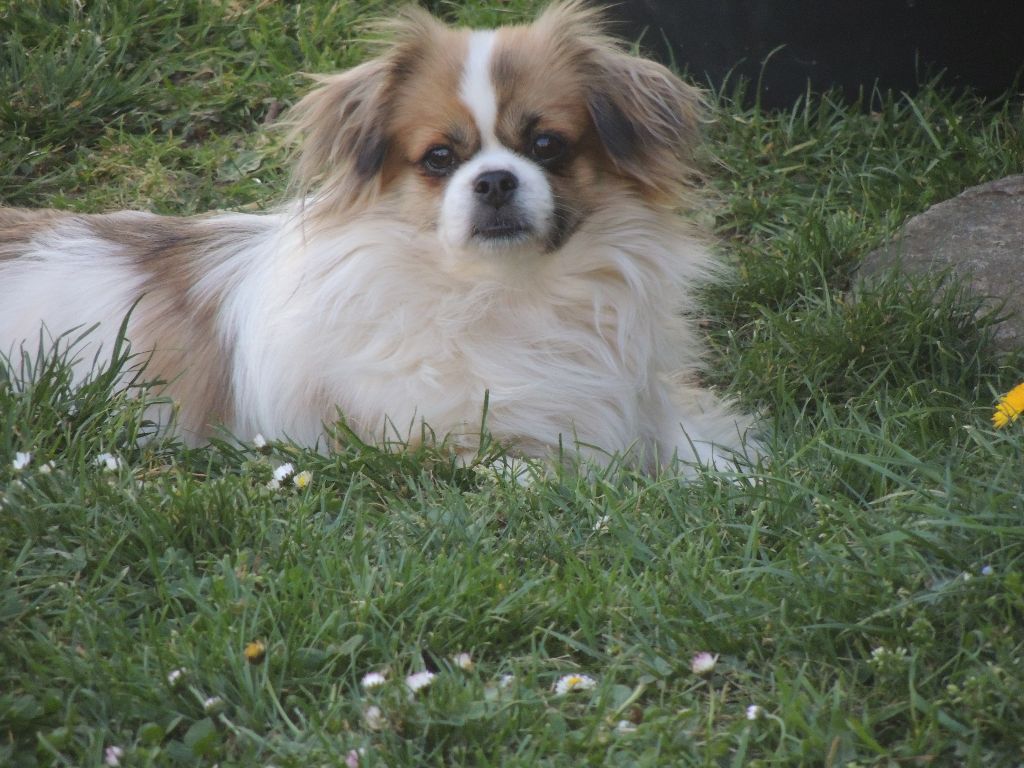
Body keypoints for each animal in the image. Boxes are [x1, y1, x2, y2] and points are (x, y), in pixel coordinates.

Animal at [0, 1, 753, 475]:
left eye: (547, 145)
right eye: (439, 159)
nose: (495, 181)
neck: (508, 294)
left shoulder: (642, 402)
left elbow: (702, 450)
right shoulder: (443, 443)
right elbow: (540, 473)